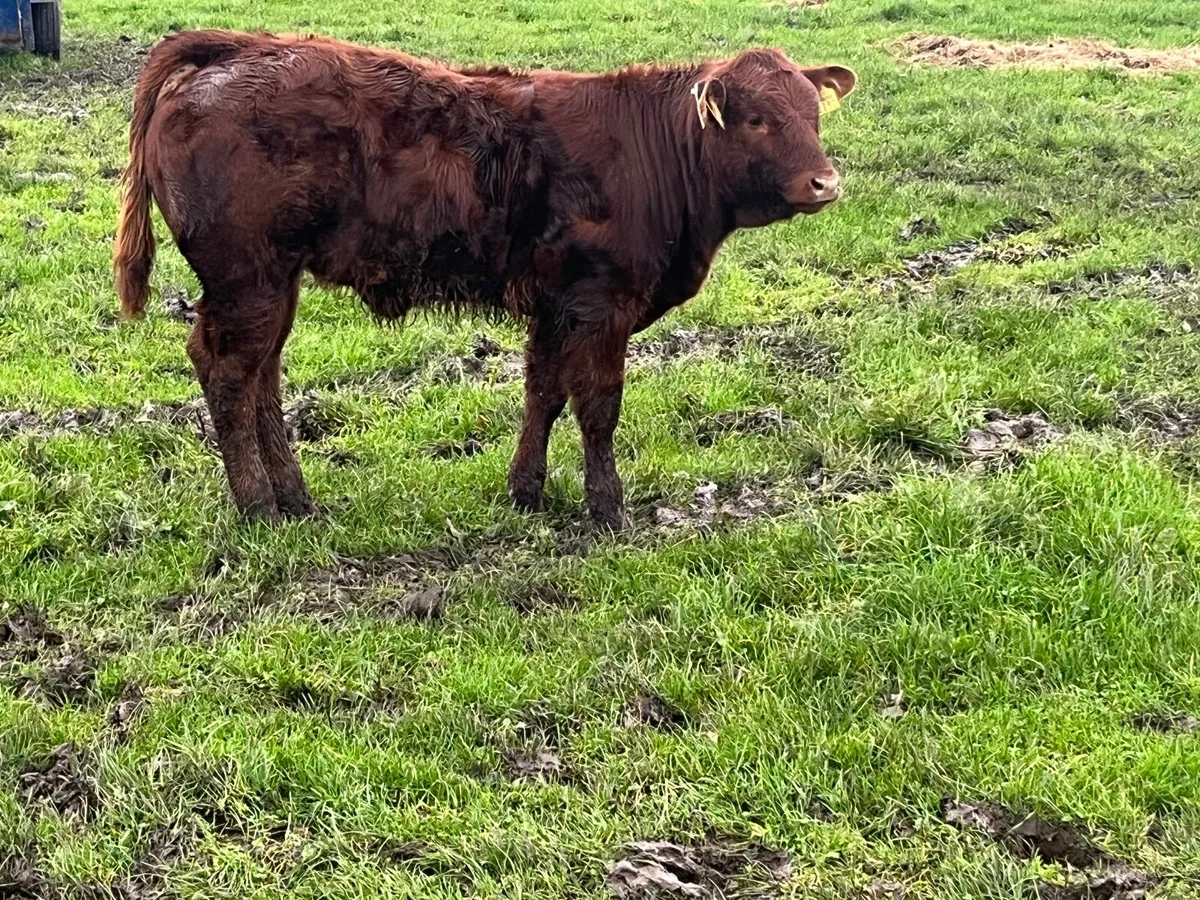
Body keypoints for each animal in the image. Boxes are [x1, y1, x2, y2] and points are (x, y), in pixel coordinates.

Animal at [114, 29, 855, 529]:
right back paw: (258, 506)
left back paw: (295, 497)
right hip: (248, 280)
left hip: (273, 283)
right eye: (756, 120)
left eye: (813, 115)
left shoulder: (556, 306)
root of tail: (240, 49)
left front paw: (526, 492)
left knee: (260, 376)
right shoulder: (602, 304)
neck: (653, 154)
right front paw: (607, 508)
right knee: (227, 374)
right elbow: (598, 407)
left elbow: (544, 394)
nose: (825, 183)